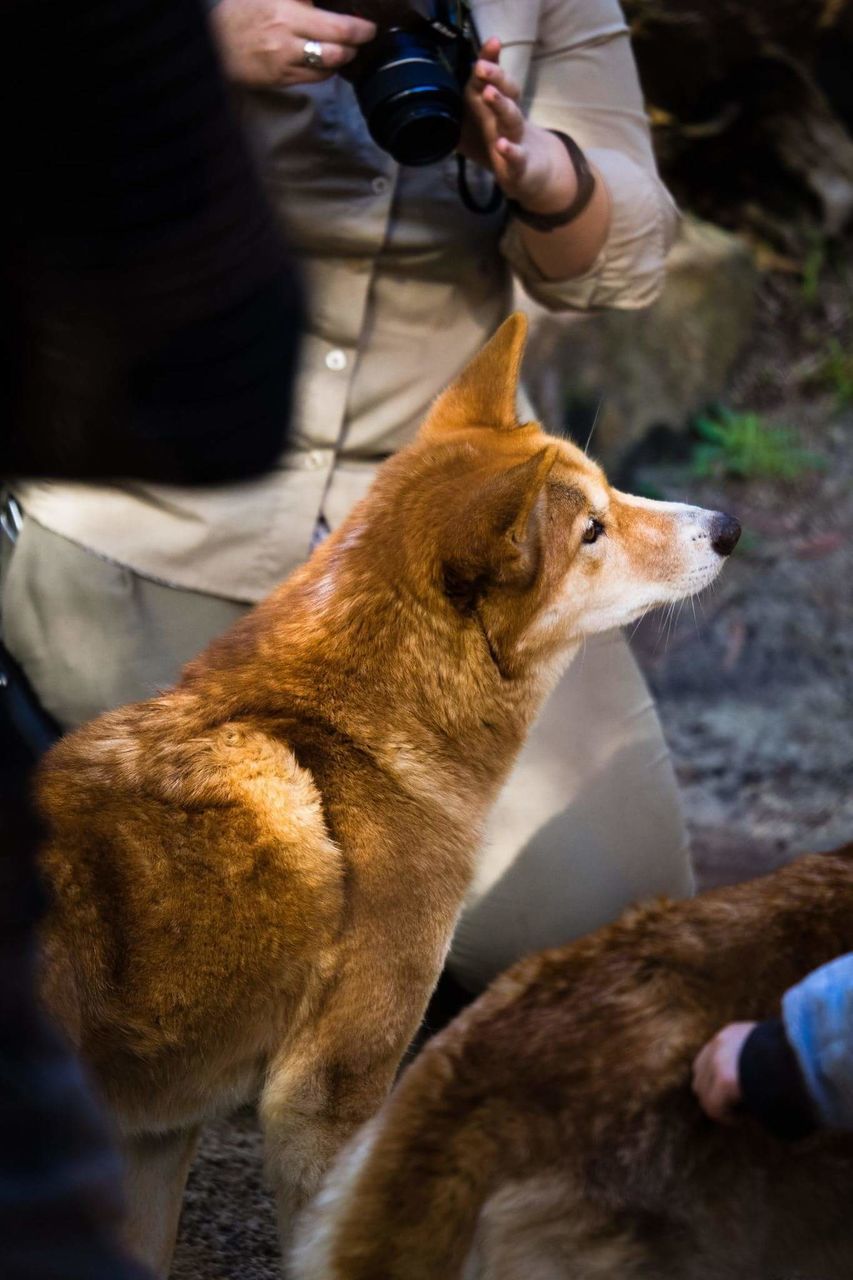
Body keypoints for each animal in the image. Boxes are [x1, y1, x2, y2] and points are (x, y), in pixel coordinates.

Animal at [34, 314, 737, 1274]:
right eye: (592, 528)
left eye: (609, 494)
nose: (728, 526)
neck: (353, 736)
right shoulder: (330, 1095)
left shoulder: (154, 1136)